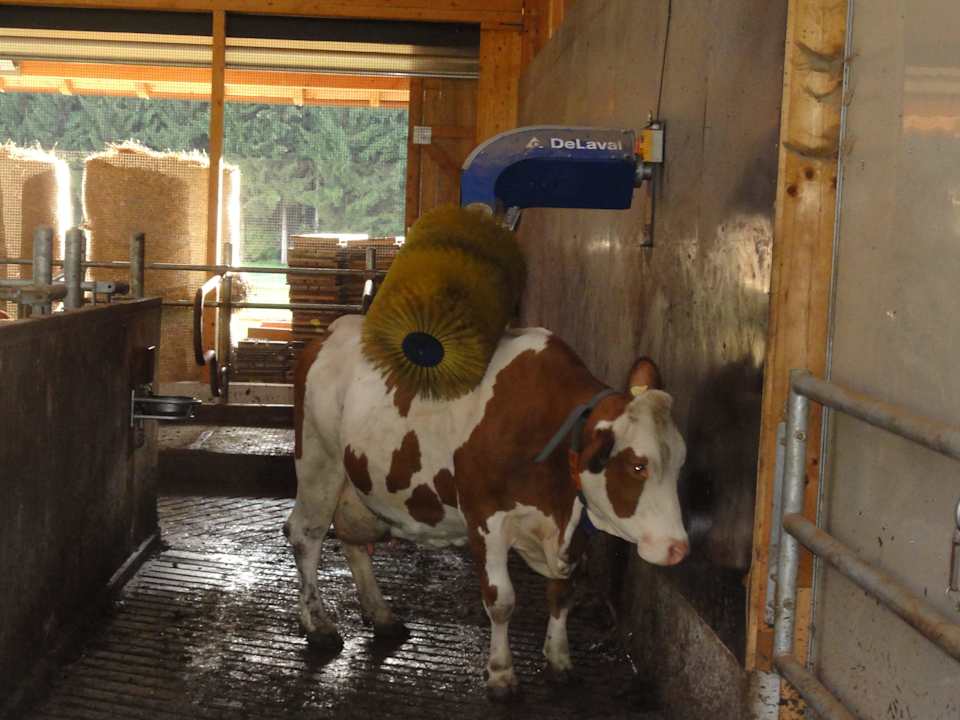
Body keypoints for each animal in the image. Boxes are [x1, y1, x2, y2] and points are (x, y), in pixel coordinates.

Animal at [285, 315, 689, 697]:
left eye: (681, 461)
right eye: (638, 465)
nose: (678, 548)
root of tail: (333, 330)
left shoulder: (576, 527)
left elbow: (563, 593)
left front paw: (559, 661)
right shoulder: (486, 519)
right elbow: (501, 600)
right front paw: (501, 674)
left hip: (359, 482)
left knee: (351, 539)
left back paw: (381, 614)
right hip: (319, 459)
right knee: (306, 533)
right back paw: (318, 624)